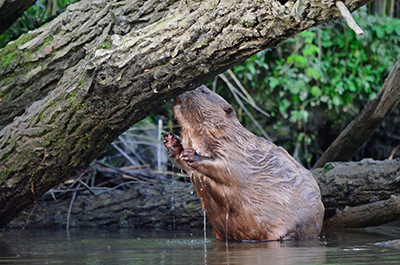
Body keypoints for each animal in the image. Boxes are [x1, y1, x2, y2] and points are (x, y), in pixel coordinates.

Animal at [164, 85, 324, 241]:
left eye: (204, 91)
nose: (185, 89)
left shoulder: (236, 150)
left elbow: (226, 168)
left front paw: (192, 155)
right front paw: (172, 143)